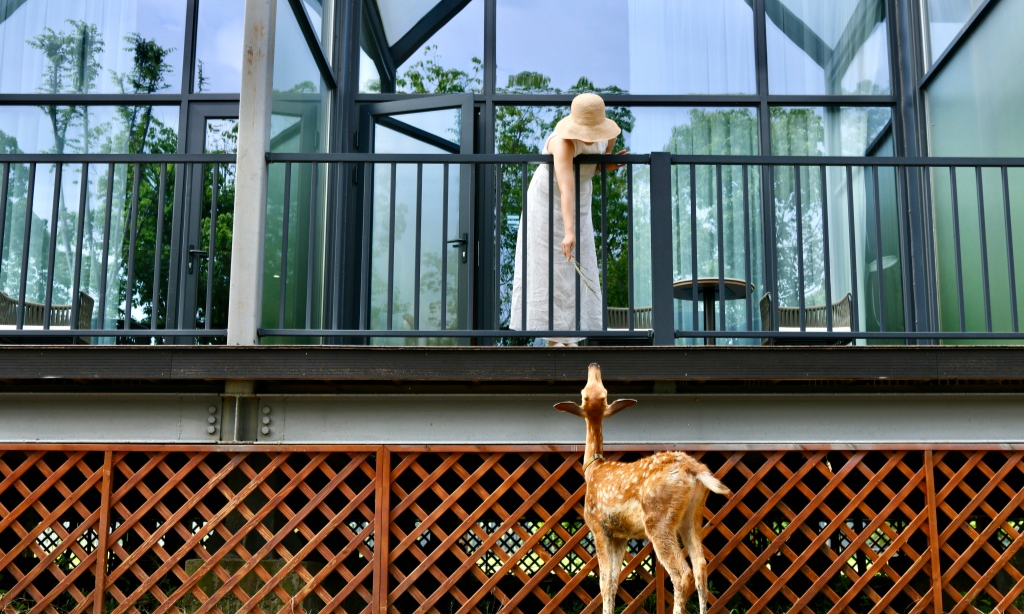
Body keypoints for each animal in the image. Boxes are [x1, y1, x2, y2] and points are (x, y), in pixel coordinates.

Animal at [555, 363, 731, 614]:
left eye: (585, 393)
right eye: (593, 392)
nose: (593, 366)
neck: (593, 470)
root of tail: (694, 470)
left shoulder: (598, 525)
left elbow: (603, 582)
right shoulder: (620, 535)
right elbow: (614, 581)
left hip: (658, 520)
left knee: (682, 574)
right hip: (693, 516)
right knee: (701, 567)